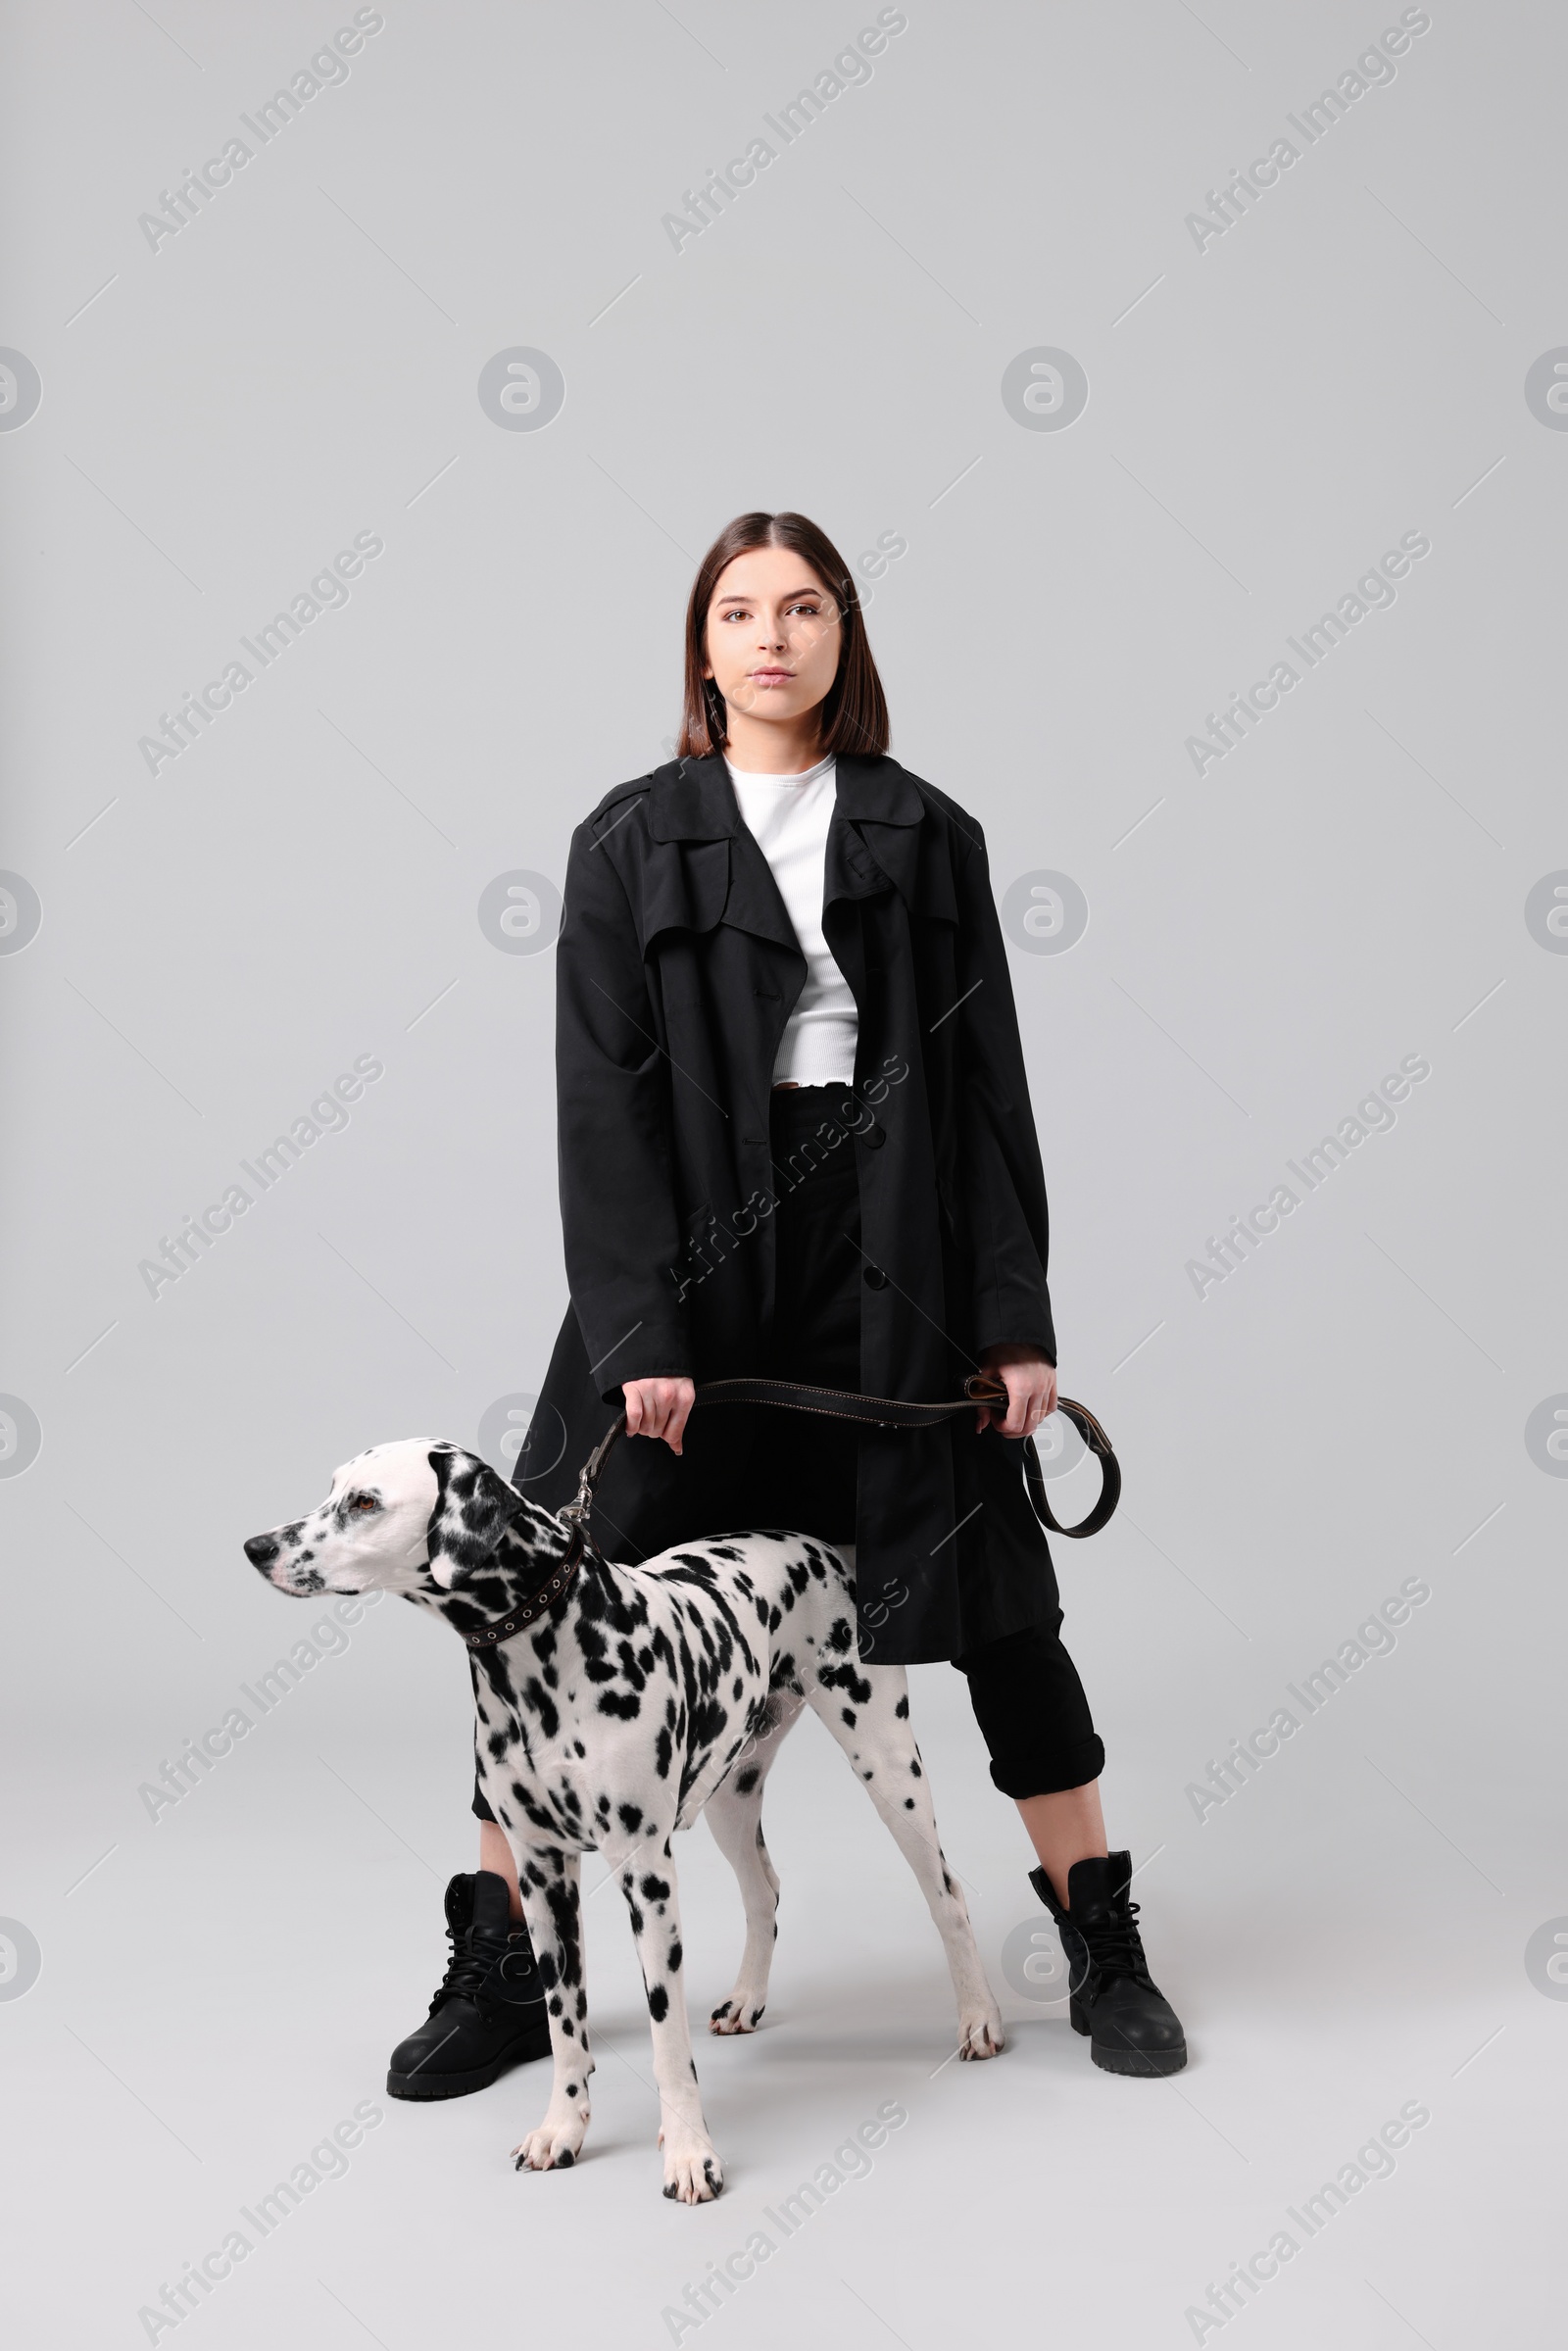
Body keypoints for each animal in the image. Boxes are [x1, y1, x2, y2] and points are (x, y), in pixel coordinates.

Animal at [245, 1429, 1005, 2200]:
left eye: (366, 1502)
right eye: (333, 1487)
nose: (255, 1546)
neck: (546, 1656)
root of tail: (827, 1547)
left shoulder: (647, 1872)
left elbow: (668, 2040)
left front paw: (689, 2152)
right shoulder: (543, 1875)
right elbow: (564, 2026)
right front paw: (562, 2128)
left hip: (888, 1765)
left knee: (947, 1892)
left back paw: (978, 2018)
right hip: (731, 1793)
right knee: (764, 1891)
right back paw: (748, 1997)